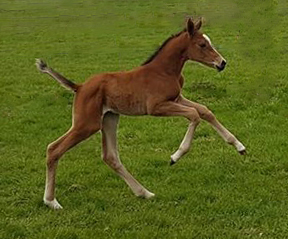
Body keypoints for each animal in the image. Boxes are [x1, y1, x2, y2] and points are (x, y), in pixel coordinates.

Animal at [35, 18, 245, 209]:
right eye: (202, 44)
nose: (222, 63)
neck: (164, 71)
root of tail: (79, 87)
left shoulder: (177, 98)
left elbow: (204, 111)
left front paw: (239, 146)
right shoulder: (156, 107)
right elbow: (194, 114)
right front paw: (175, 157)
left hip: (110, 118)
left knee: (110, 156)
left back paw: (144, 193)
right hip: (87, 124)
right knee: (54, 149)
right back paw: (51, 201)